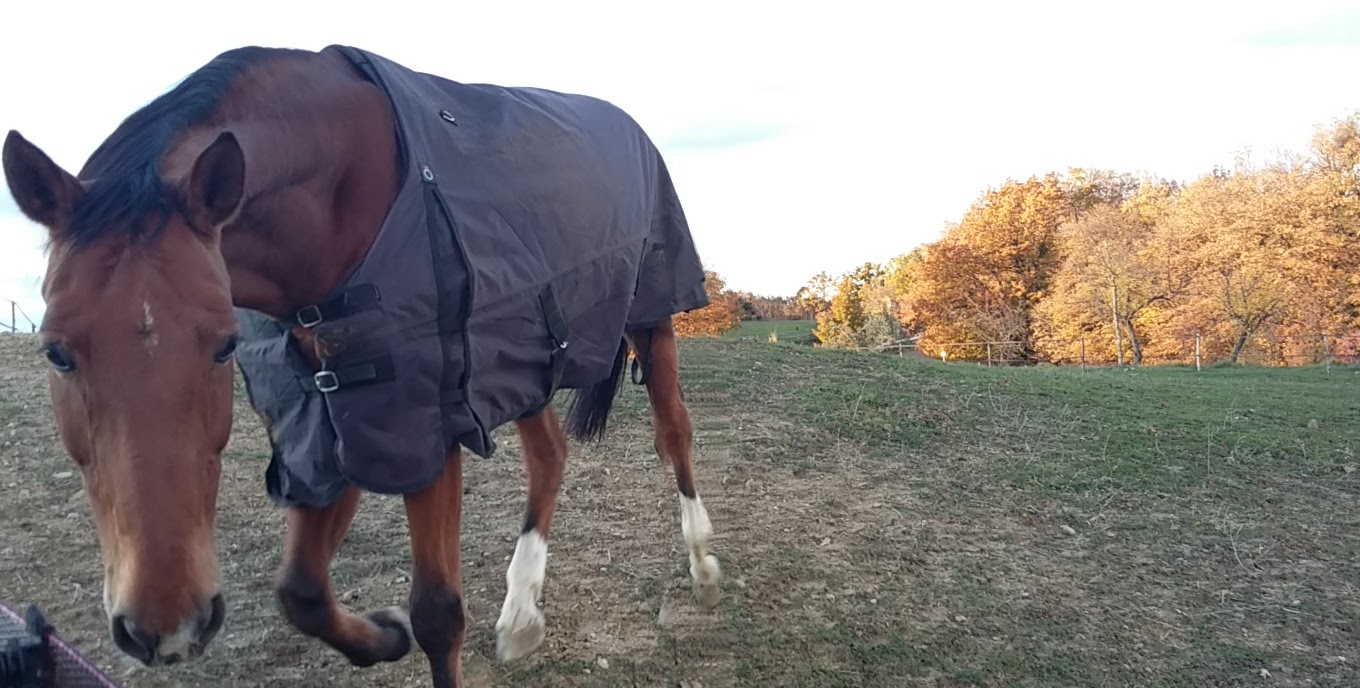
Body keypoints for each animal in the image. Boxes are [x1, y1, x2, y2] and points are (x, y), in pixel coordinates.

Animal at [1, 44, 723, 688]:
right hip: (520, 359)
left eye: (223, 344)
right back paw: (520, 615)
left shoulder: (420, 423)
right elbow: (302, 592)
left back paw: (702, 563)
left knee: (673, 430)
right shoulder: (332, 418)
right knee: (549, 457)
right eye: (56, 351)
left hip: (651, 318)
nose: (169, 626)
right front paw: (381, 637)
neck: (337, 205)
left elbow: (436, 614)